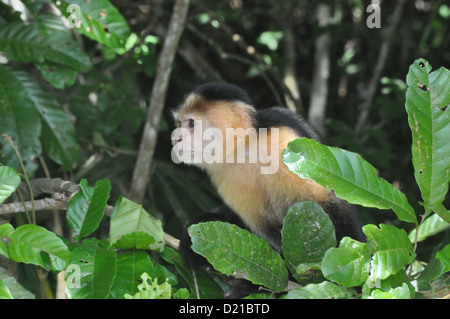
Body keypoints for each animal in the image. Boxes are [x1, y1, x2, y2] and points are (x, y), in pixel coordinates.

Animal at [171, 82, 364, 282]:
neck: (245, 148)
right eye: (179, 124)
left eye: (191, 124)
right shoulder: (225, 175)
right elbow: (262, 229)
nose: (175, 138)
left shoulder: (285, 144)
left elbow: (331, 204)